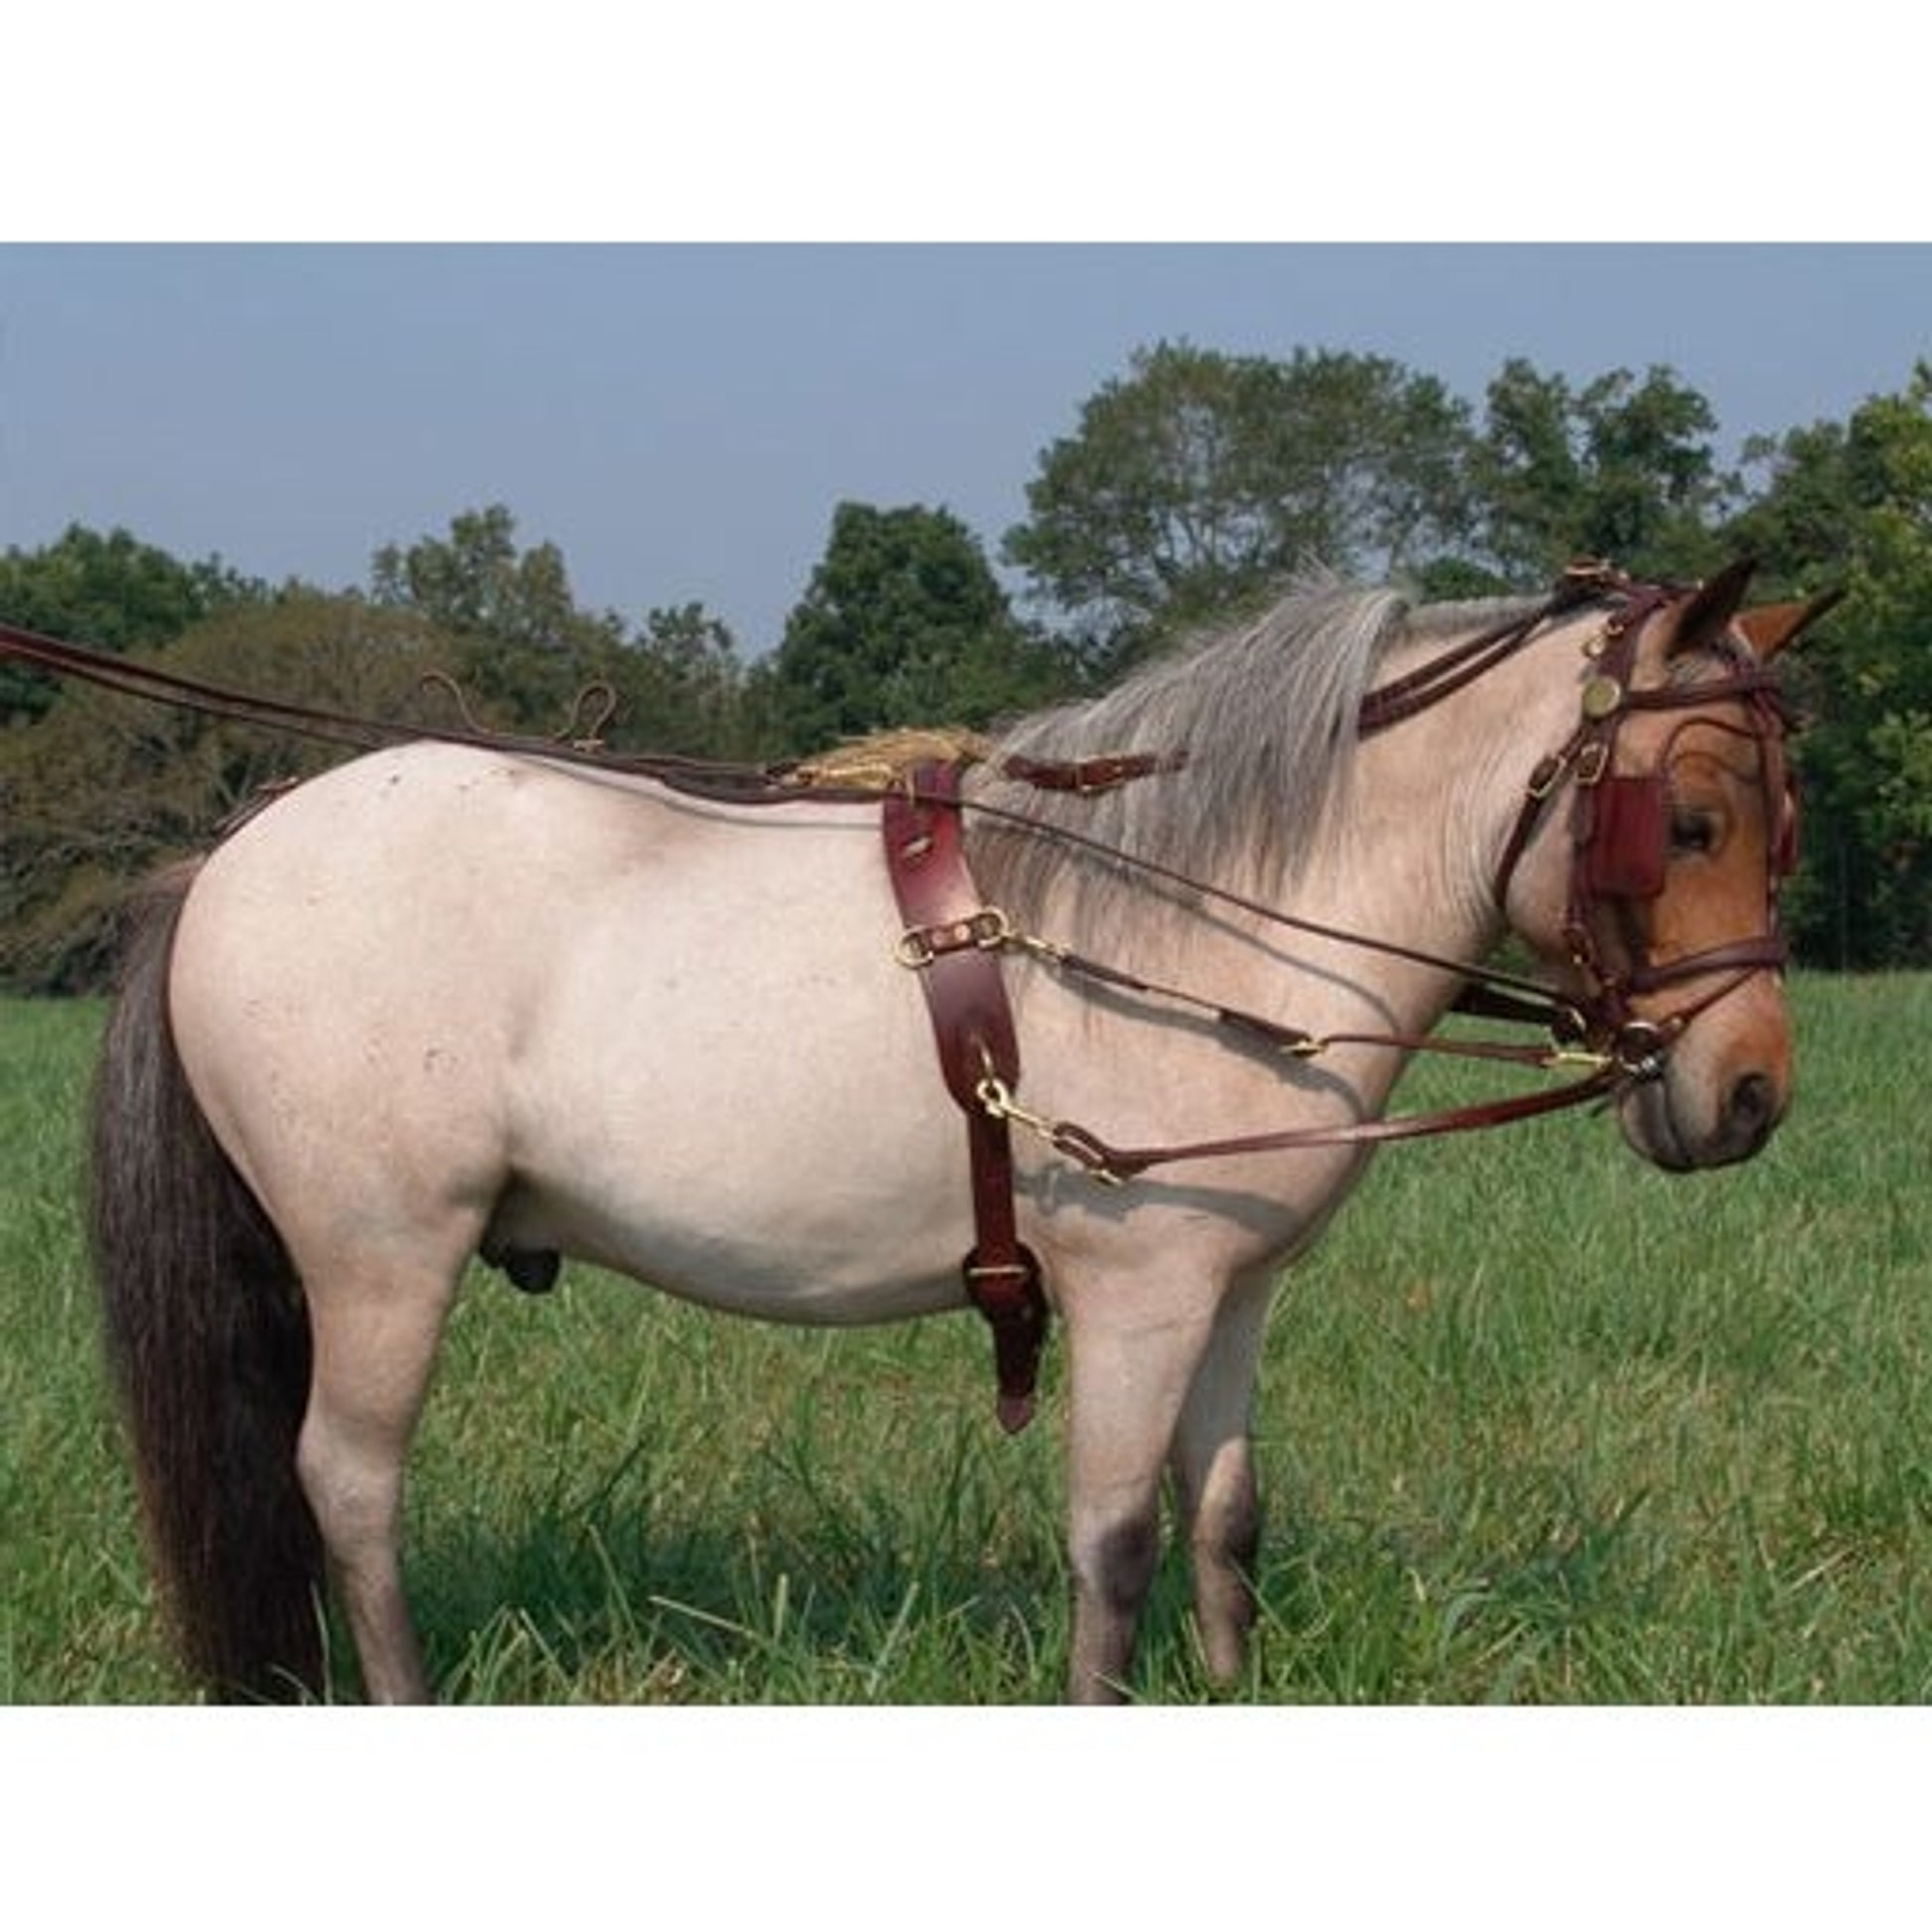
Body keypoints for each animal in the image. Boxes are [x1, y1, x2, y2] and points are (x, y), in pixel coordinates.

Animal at [84, 559, 1834, 1703]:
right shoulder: (1135, 1295)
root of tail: (225, 859)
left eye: (1775, 818)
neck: (1207, 913)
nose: (1747, 1091)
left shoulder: (1230, 1291)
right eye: (1684, 819)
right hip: (381, 1258)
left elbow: (1223, 1516)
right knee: (348, 1484)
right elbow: (1113, 1537)